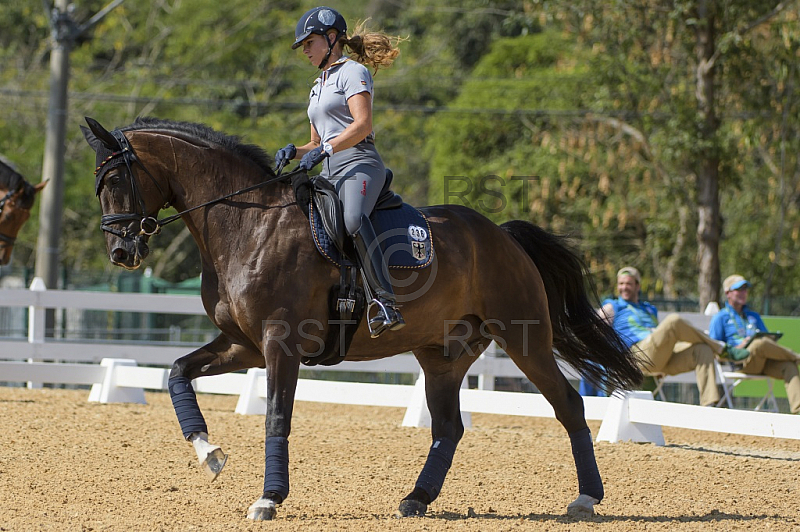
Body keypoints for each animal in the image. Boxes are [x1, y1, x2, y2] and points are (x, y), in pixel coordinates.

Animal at [83, 116, 644, 520]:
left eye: (115, 179)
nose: (121, 253)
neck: (249, 223)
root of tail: (502, 235)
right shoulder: (243, 344)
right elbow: (178, 373)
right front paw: (209, 453)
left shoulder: (278, 343)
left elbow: (277, 416)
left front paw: (269, 498)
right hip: (441, 355)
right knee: (449, 426)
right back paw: (416, 499)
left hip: (524, 338)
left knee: (568, 405)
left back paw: (586, 500)